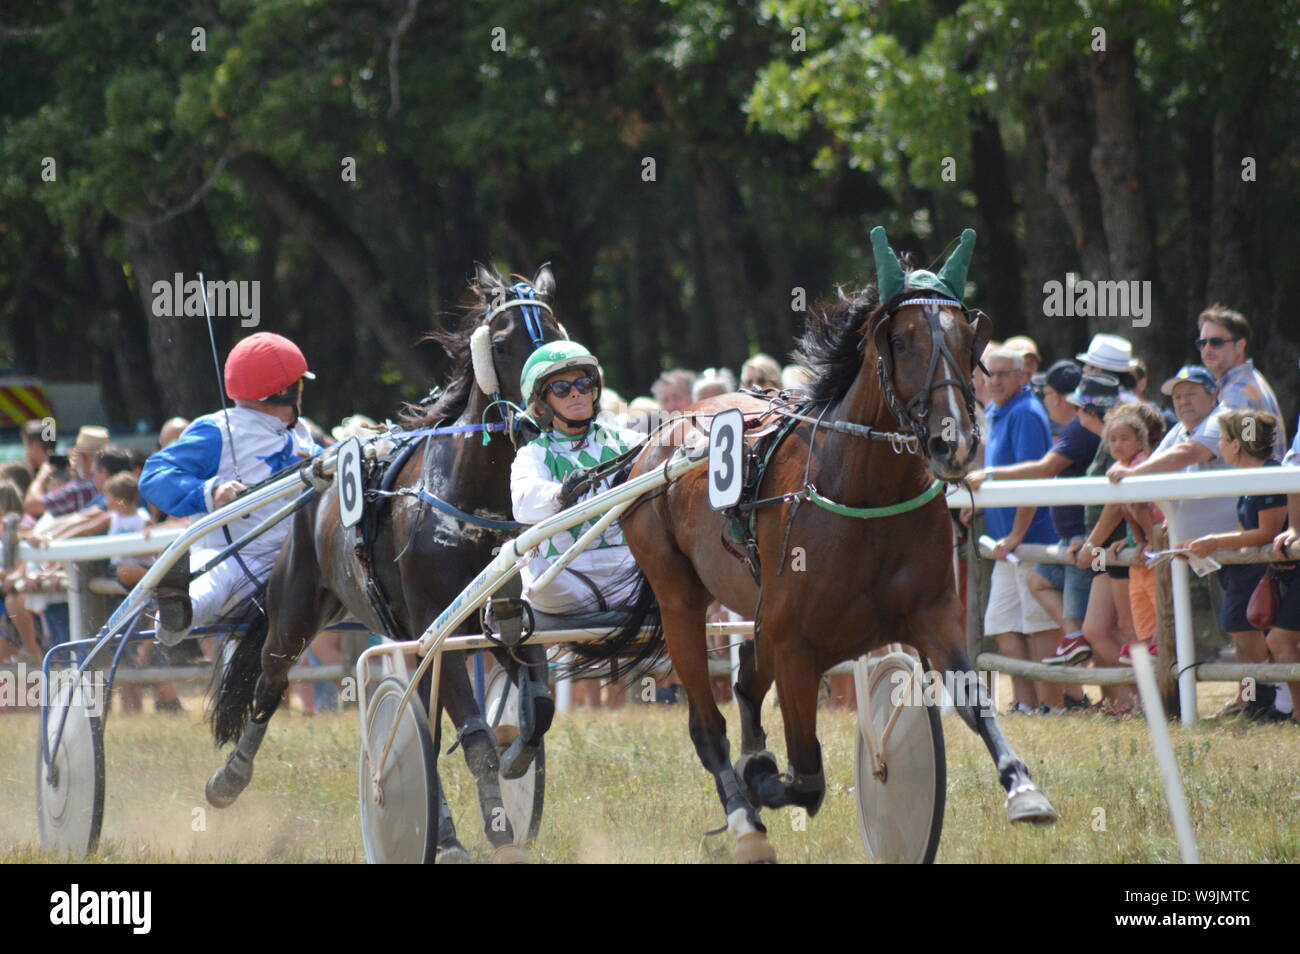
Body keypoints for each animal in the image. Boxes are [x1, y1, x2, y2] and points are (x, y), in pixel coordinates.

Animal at [204, 263, 567, 863]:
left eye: (555, 334)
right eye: (501, 342)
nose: (539, 423)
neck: (473, 505)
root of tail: (317, 477)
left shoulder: (502, 623)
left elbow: (537, 707)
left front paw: (518, 758)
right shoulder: (431, 629)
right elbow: (474, 738)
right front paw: (494, 828)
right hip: (296, 612)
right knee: (270, 683)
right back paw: (229, 779)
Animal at [577, 235, 1058, 863]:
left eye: (965, 339)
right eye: (901, 340)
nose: (953, 442)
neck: (863, 494)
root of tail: (658, 437)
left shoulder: (933, 615)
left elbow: (974, 698)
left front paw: (1024, 790)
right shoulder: (795, 646)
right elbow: (806, 778)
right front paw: (762, 778)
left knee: (745, 680)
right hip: (679, 597)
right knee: (708, 725)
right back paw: (744, 820)